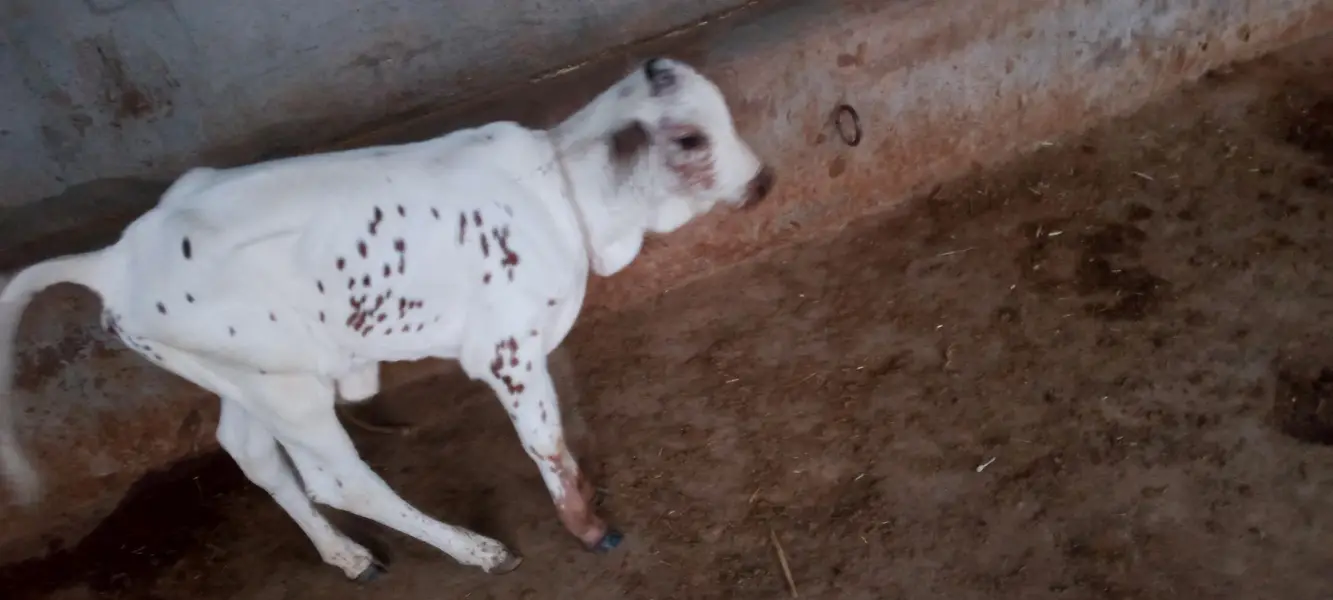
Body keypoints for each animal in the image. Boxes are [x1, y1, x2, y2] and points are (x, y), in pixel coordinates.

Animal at [0, 57, 775, 582]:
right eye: (693, 141)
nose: (764, 179)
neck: (563, 192)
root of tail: (116, 257)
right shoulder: (506, 350)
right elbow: (546, 443)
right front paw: (588, 527)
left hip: (253, 380)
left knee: (251, 453)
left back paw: (348, 556)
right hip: (291, 389)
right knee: (338, 479)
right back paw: (477, 550)